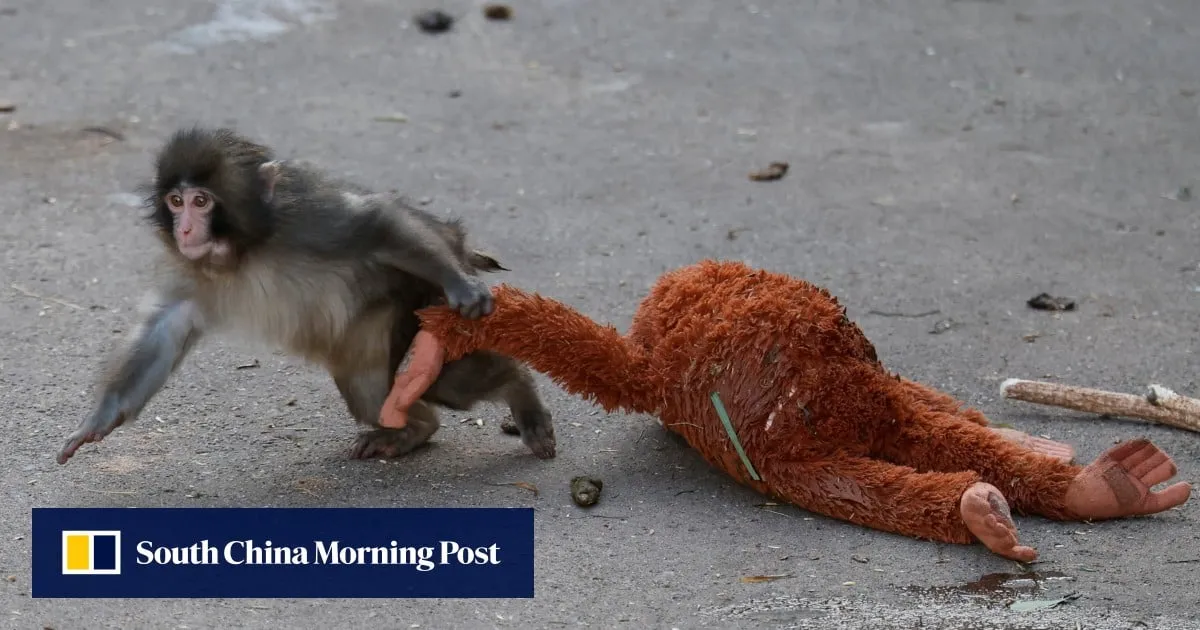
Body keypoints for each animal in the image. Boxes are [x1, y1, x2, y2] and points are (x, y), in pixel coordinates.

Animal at [56, 126, 555, 465]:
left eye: (201, 201)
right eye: (175, 202)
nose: (184, 230)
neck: (244, 250)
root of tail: (459, 241)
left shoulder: (307, 219)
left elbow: (373, 224)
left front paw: (463, 285)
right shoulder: (190, 268)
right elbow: (166, 326)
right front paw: (100, 419)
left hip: (421, 297)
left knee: (454, 378)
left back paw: (520, 392)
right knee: (372, 392)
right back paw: (413, 430)